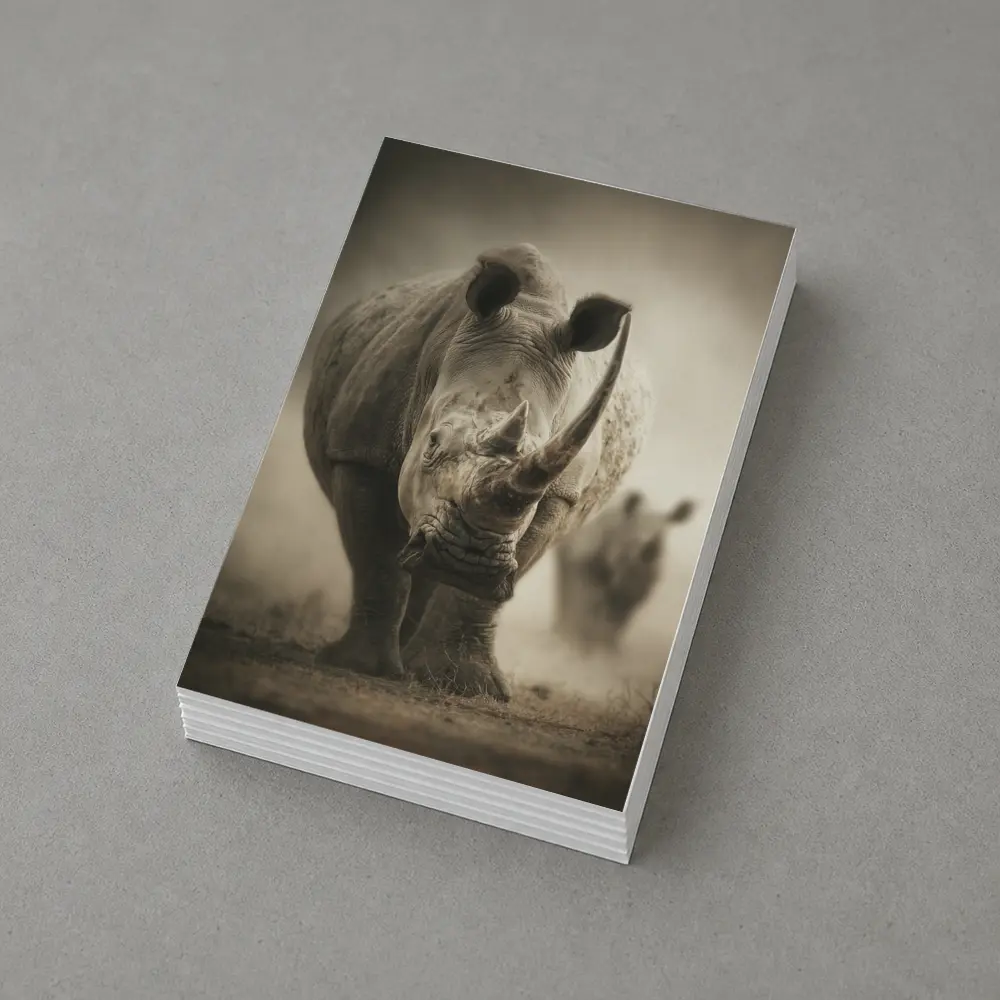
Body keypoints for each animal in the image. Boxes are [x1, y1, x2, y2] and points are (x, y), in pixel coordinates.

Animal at [303, 242, 653, 701]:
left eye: (535, 456)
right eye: (433, 442)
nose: (467, 558)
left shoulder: (556, 488)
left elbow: (483, 589)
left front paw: (463, 685)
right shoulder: (360, 450)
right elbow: (376, 561)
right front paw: (358, 666)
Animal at [553, 489, 696, 650]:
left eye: (662, 535)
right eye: (635, 531)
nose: (650, 549)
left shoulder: (635, 591)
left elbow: (620, 619)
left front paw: (608, 649)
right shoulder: (586, 565)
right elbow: (585, 603)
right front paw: (580, 646)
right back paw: (562, 634)